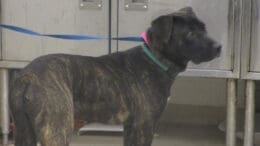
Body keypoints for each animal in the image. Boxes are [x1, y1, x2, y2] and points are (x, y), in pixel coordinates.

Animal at [10, 7, 221, 146]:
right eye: (190, 33)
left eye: (204, 28)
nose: (219, 47)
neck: (155, 59)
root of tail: (27, 76)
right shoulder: (144, 127)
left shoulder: (131, 127)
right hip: (56, 129)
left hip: (24, 132)